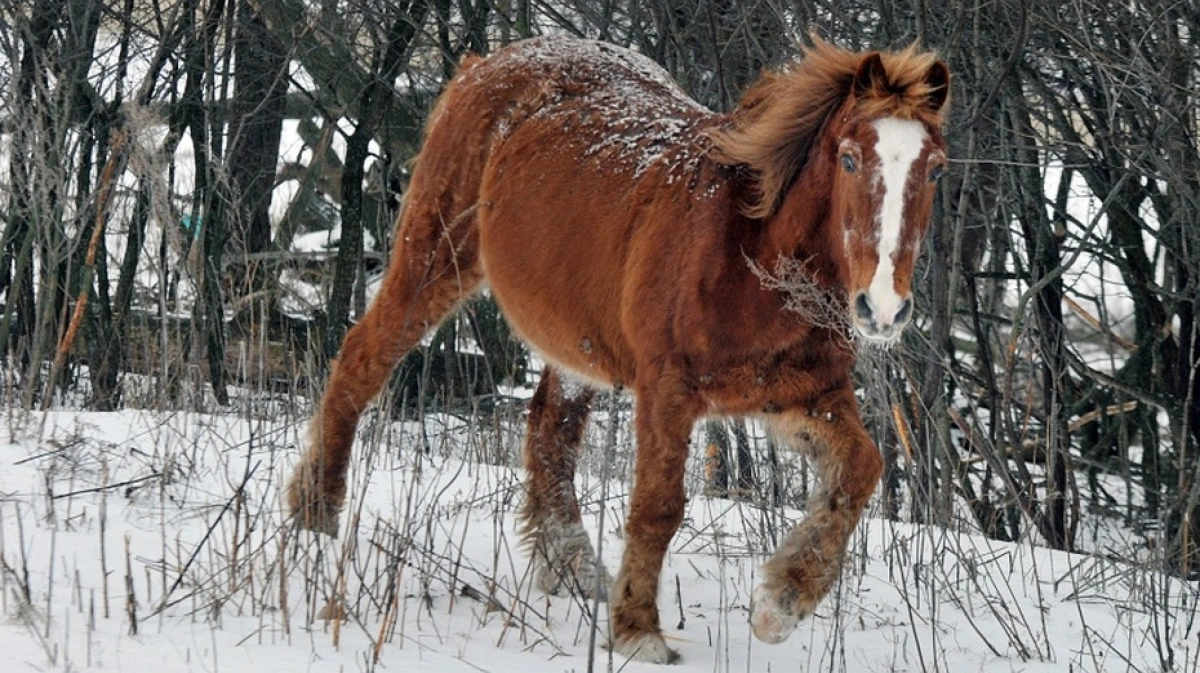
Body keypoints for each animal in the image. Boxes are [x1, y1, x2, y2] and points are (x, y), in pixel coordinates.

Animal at [285, 35, 950, 662]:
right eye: (849, 158)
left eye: (936, 169)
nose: (883, 308)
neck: (751, 256)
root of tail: (487, 64)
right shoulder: (667, 390)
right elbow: (658, 508)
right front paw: (638, 633)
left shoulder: (803, 397)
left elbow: (862, 470)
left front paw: (781, 605)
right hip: (436, 255)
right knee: (363, 358)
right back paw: (315, 516)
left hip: (578, 344)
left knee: (549, 431)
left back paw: (574, 571)